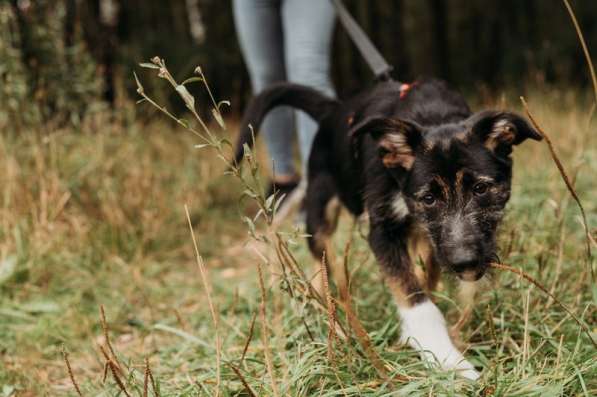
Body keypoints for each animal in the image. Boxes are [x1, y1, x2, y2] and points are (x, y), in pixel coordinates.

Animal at [233, 77, 540, 378]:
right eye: (428, 198)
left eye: (480, 189)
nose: (464, 263)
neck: (433, 116)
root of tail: (333, 110)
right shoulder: (382, 231)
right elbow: (414, 297)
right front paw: (447, 360)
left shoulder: (430, 238)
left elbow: (421, 280)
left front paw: (415, 338)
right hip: (320, 211)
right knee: (321, 260)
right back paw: (324, 312)